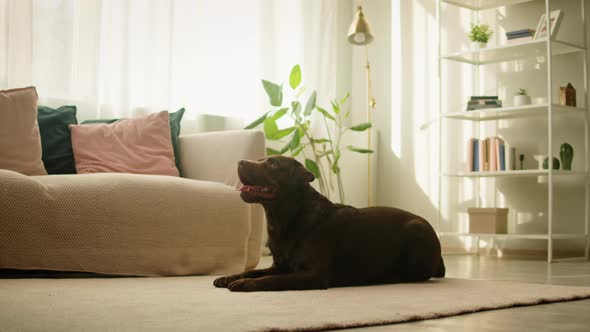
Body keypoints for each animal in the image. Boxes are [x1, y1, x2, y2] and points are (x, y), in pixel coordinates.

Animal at [215, 156, 446, 290]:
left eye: (271, 163)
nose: (239, 162)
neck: (286, 218)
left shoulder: (313, 275)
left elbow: (271, 280)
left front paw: (245, 283)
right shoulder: (279, 265)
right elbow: (253, 271)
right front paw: (231, 277)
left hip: (416, 230)